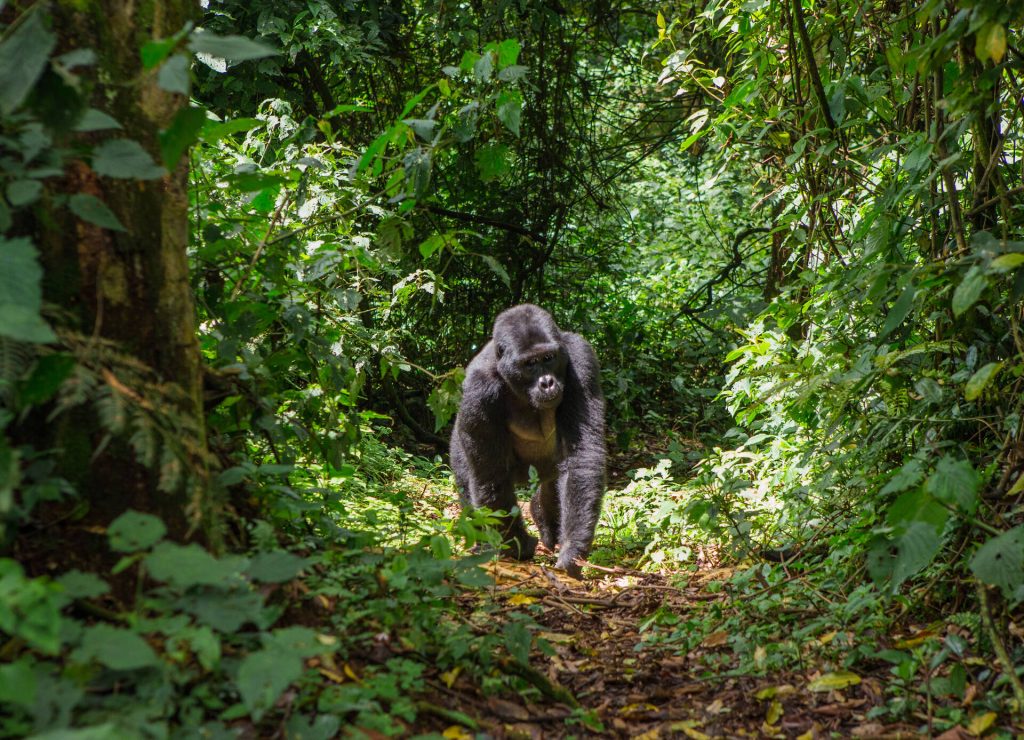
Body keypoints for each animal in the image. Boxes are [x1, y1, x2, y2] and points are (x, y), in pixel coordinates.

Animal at [450, 302, 606, 577]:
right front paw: (518, 546)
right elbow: (491, 476)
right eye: (530, 363)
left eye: (548, 358)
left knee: (554, 482)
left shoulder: (581, 358)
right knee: (468, 480)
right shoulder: (478, 389)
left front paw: (572, 548)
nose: (547, 383)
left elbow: (581, 456)